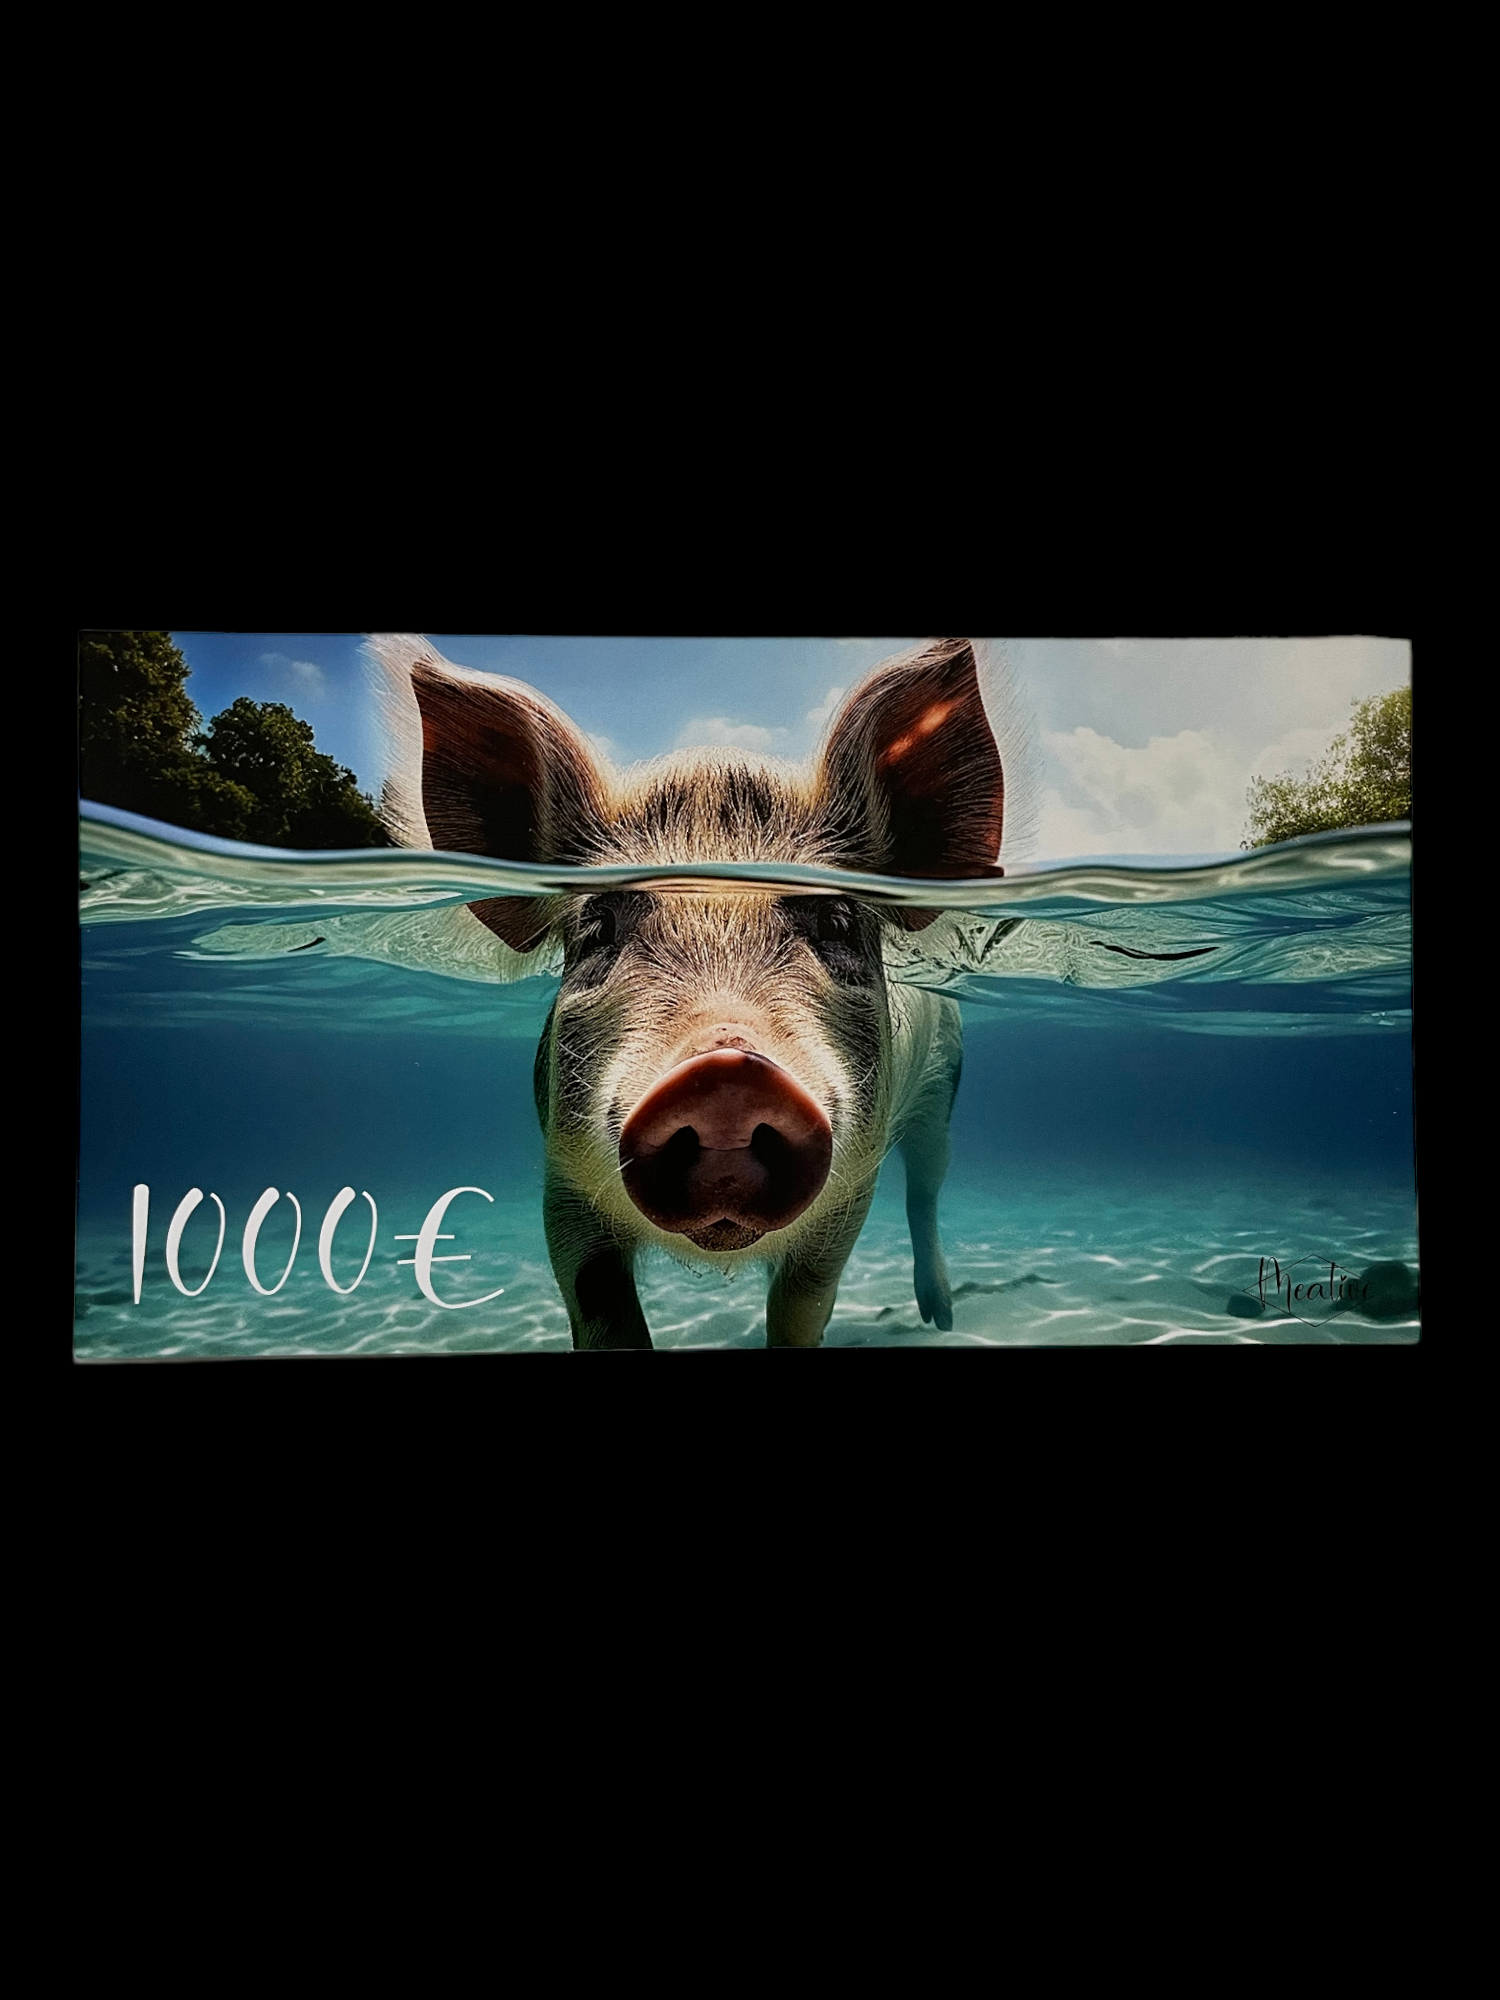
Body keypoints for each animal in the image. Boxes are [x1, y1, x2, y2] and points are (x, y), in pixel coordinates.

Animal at [369, 636, 1009, 1350]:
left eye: (838, 921)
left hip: (943, 1088)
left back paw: (940, 1316)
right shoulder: (564, 1181)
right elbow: (600, 1302)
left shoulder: (850, 1193)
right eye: (597, 928)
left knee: (925, 1189)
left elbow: (802, 1304)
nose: (727, 1072)